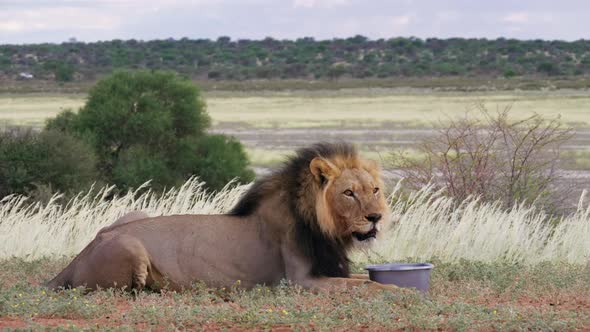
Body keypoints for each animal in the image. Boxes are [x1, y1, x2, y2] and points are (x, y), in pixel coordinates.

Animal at [48, 141, 396, 292]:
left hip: (133, 214)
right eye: (349, 193)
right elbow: (375, 287)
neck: (327, 230)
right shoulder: (299, 281)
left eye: (375, 189)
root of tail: (77, 259)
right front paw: (402, 292)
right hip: (130, 247)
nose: (376, 217)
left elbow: (368, 280)